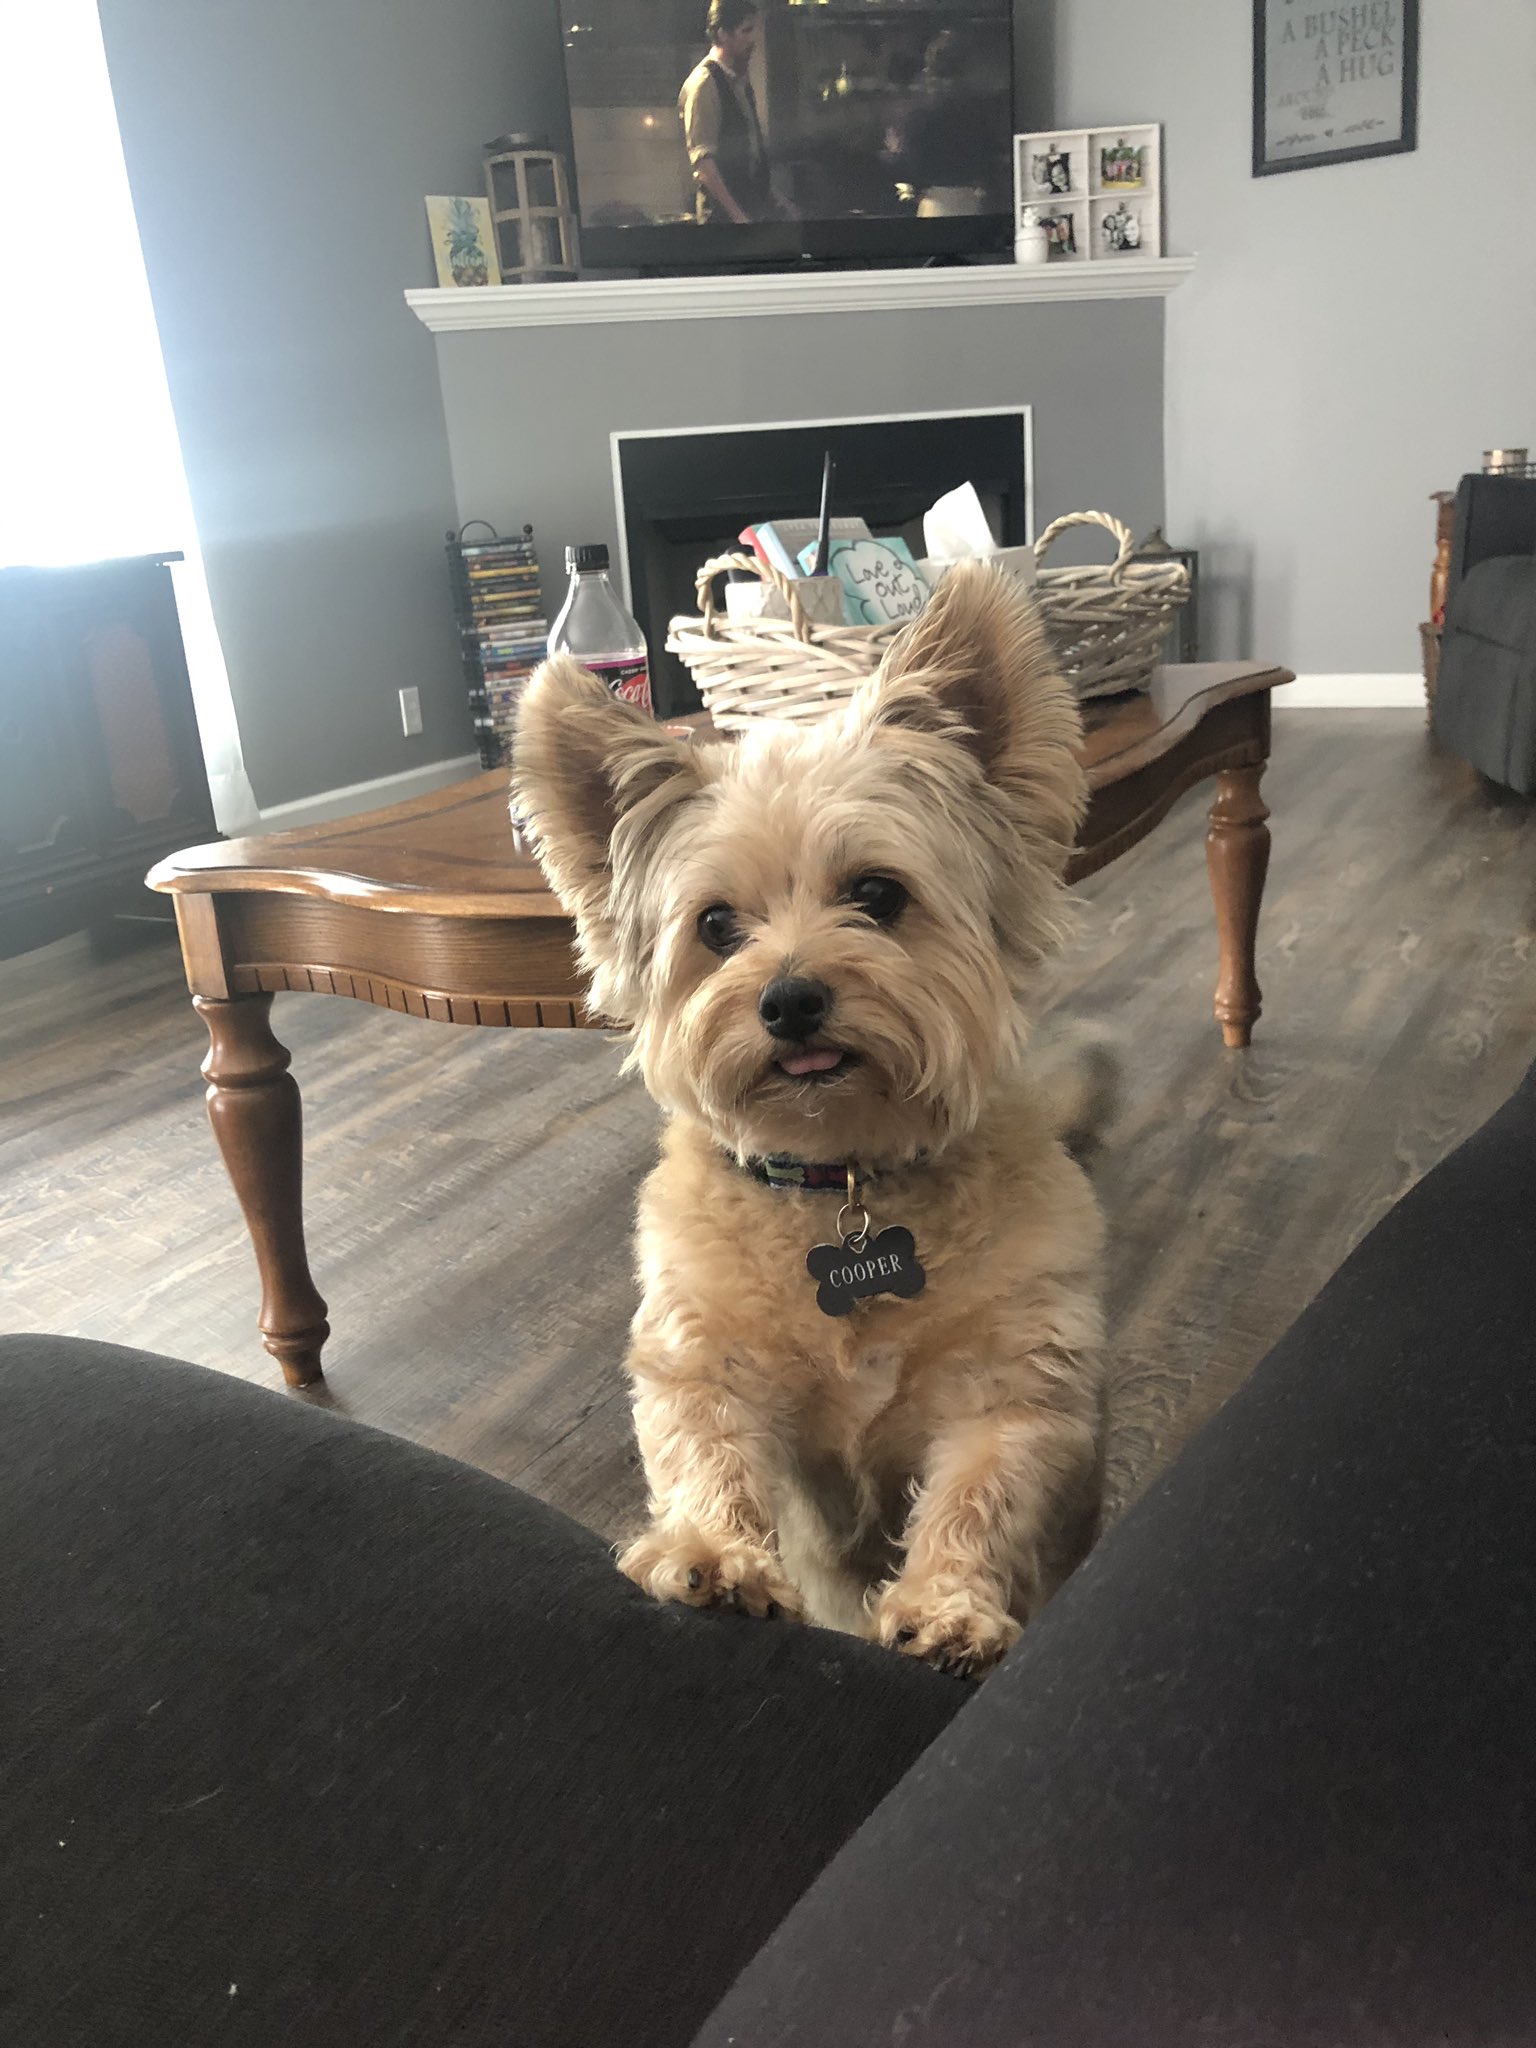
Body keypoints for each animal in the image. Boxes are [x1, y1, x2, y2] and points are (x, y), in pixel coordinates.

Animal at [512, 562, 1111, 1676]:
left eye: (877, 893)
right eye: (715, 925)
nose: (788, 1000)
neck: (843, 1179)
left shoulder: (1012, 1389)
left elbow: (978, 1497)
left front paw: (948, 1608)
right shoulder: (700, 1356)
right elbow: (705, 1448)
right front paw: (710, 1555)